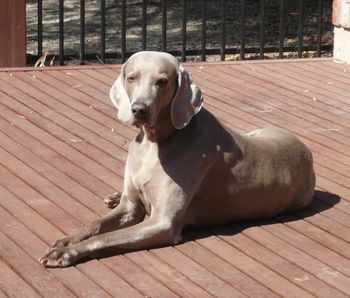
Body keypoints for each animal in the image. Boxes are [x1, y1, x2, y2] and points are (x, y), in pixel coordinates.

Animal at [40, 51, 314, 268]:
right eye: (132, 77)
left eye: (162, 81)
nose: (139, 110)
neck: (153, 143)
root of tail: (308, 153)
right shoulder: (130, 208)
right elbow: (94, 225)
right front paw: (66, 240)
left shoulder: (162, 223)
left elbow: (105, 238)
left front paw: (65, 252)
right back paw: (114, 196)